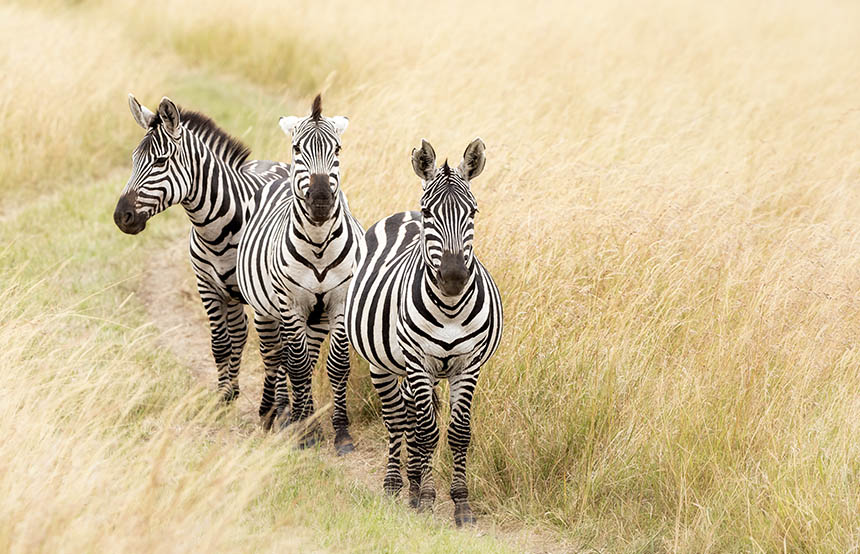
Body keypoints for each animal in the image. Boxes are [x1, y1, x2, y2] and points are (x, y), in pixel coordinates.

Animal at [114, 94, 290, 406]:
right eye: (134, 160)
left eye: (160, 161)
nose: (121, 217)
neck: (215, 232)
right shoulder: (207, 286)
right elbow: (220, 344)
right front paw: (223, 397)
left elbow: (273, 348)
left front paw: (277, 407)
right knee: (239, 331)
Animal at [235, 92, 362, 450]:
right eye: (297, 149)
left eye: (337, 150)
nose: (320, 200)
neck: (318, 245)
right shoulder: (290, 305)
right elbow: (298, 366)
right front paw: (306, 431)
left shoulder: (340, 302)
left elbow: (336, 365)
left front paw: (339, 432)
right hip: (267, 311)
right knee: (277, 356)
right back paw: (276, 414)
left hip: (315, 318)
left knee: (301, 354)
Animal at [344, 136, 504, 524]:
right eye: (430, 214)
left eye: (473, 213)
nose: (454, 278)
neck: (450, 308)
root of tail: (404, 214)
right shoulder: (418, 362)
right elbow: (427, 431)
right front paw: (429, 498)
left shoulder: (468, 365)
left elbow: (458, 433)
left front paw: (461, 504)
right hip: (384, 364)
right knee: (397, 419)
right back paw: (395, 486)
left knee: (413, 416)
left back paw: (413, 485)